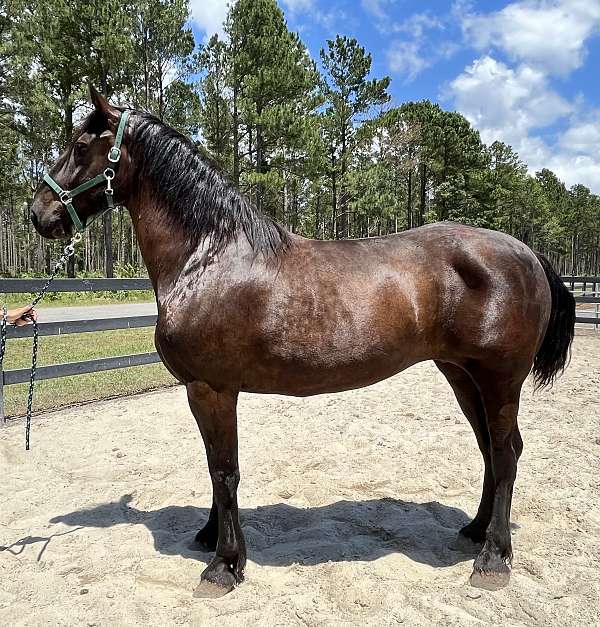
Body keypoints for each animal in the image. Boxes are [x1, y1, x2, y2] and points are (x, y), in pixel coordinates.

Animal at [30, 87, 576, 600]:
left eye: (80, 146)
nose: (38, 213)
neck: (207, 256)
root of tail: (528, 253)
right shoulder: (207, 391)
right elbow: (215, 468)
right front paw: (209, 537)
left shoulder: (210, 389)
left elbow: (224, 470)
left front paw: (224, 566)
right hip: (463, 375)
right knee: (490, 452)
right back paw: (476, 532)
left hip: (500, 378)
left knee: (505, 454)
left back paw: (494, 559)